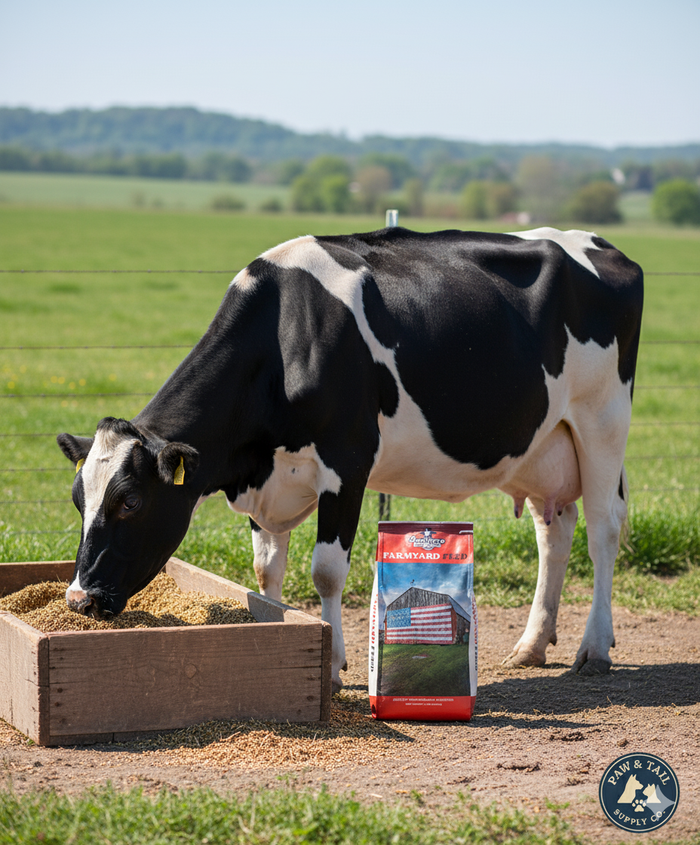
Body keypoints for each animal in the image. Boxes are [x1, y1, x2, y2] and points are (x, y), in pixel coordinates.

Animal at [57, 226, 643, 692]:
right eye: (79, 500)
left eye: (131, 501)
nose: (79, 601)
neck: (285, 336)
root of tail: (603, 246)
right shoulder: (263, 481)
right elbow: (266, 571)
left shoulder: (347, 464)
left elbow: (326, 572)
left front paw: (336, 665)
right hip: (546, 445)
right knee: (555, 531)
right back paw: (532, 645)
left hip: (603, 422)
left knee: (603, 530)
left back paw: (594, 649)